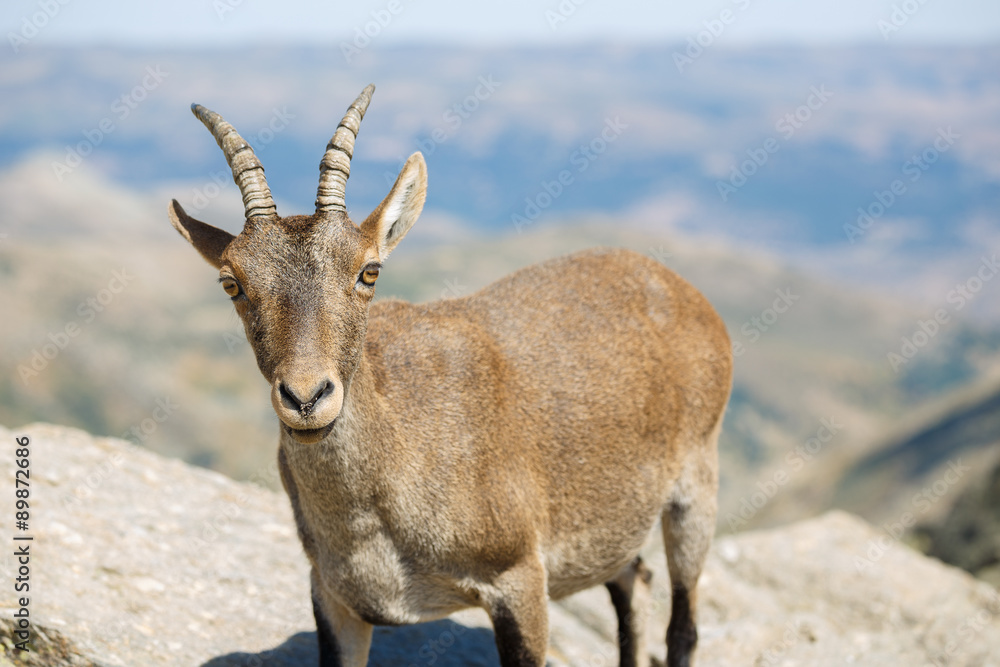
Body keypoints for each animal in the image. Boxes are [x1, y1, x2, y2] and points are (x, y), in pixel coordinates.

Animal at [170, 85, 736, 667]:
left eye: (368, 271)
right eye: (231, 282)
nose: (307, 398)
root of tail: (680, 289)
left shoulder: (518, 579)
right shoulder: (335, 597)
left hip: (696, 487)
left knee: (683, 624)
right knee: (633, 578)